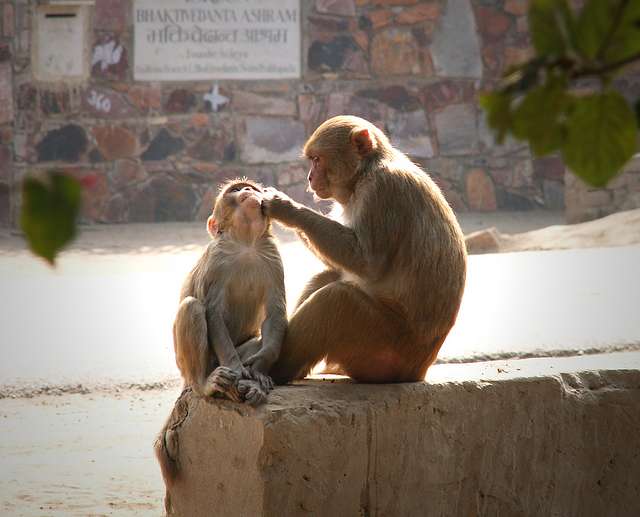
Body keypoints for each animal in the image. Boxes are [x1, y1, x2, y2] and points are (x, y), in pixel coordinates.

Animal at [174, 179, 286, 406]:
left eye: (252, 188)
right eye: (235, 190)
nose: (248, 190)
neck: (246, 243)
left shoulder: (272, 257)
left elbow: (274, 314)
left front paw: (259, 369)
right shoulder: (216, 260)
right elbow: (213, 313)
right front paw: (236, 368)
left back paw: (252, 385)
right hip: (197, 365)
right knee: (192, 307)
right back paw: (205, 383)